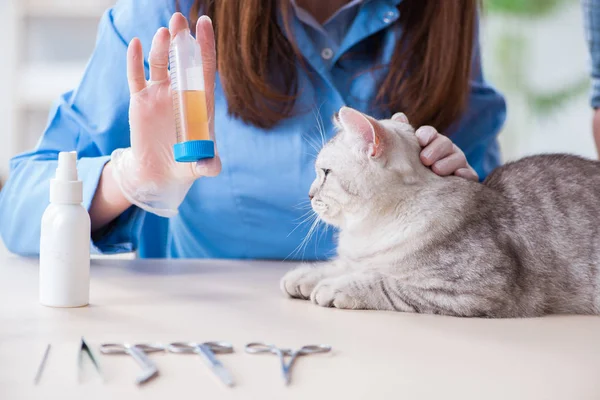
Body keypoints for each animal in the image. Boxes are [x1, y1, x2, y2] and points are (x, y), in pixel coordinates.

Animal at [278, 104, 600, 318]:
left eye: (325, 173)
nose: (309, 194)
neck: (367, 231)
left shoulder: (475, 288)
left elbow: (383, 283)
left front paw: (335, 288)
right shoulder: (359, 257)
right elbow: (342, 265)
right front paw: (306, 276)